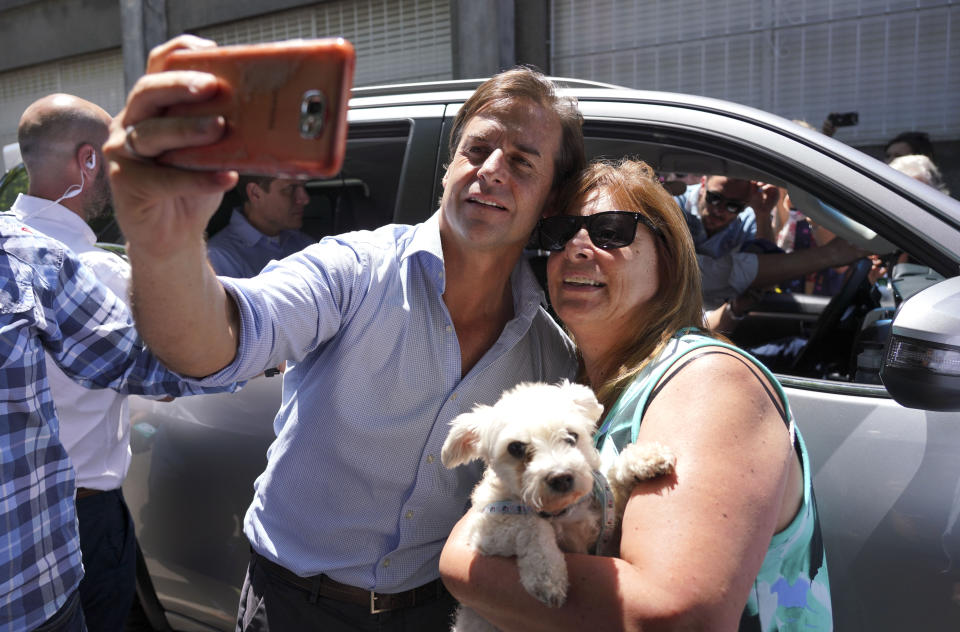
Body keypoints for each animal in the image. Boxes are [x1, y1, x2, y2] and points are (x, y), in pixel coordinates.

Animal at [442, 380, 676, 632]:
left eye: (572, 436)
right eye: (515, 448)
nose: (561, 477)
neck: (563, 512)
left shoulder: (606, 517)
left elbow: (611, 476)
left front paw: (645, 458)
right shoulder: (486, 536)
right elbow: (531, 524)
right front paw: (548, 575)